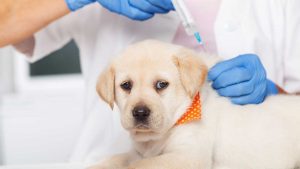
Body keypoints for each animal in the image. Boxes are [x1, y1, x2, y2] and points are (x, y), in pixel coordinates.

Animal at [91, 40, 300, 169]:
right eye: (126, 85)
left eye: (161, 84)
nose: (140, 112)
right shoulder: (137, 152)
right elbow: (117, 159)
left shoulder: (189, 156)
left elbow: (139, 166)